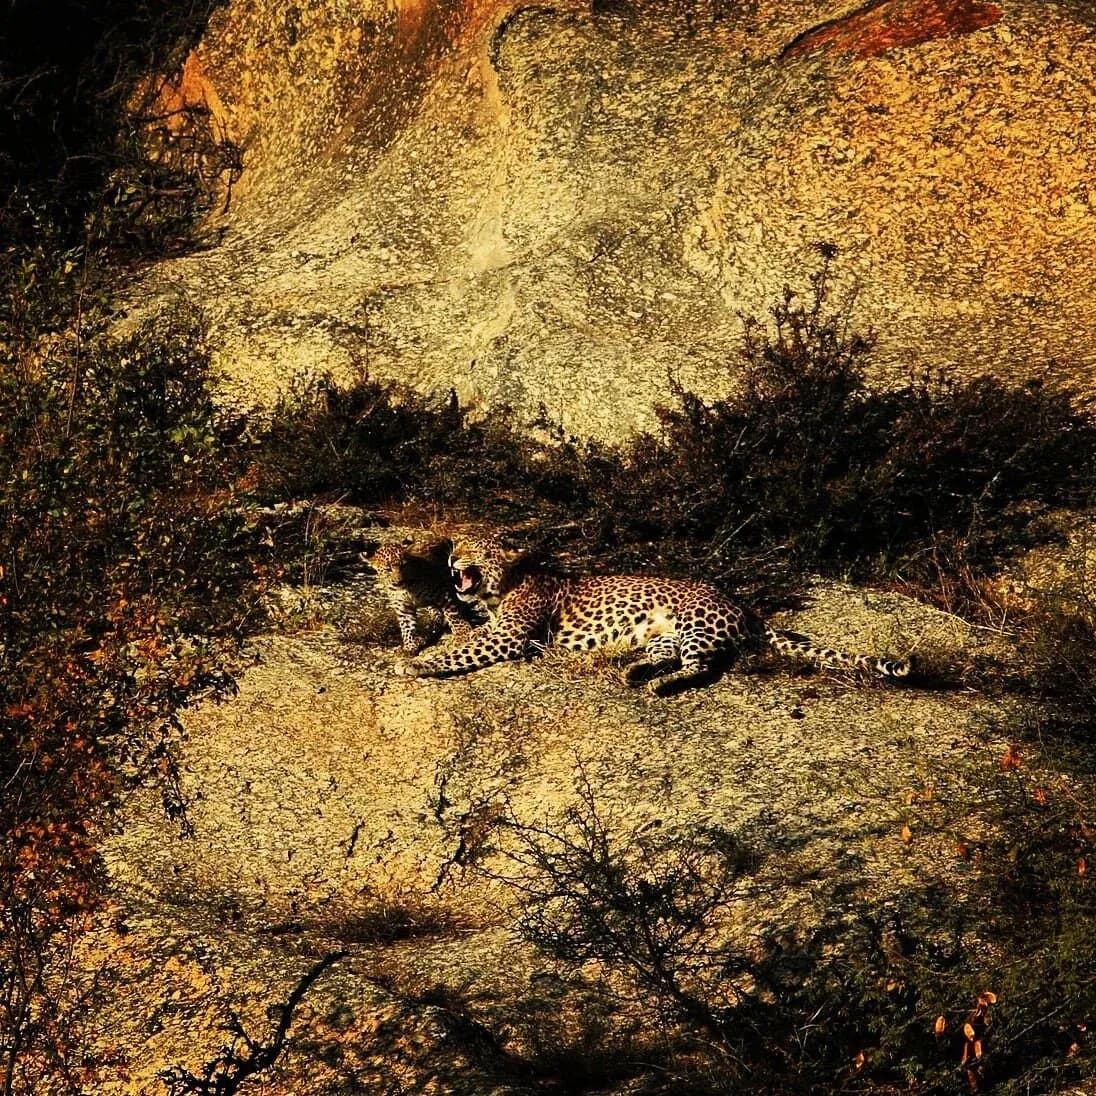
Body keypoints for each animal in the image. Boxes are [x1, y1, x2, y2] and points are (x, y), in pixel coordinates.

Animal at [409, 537, 912, 696]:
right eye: (456, 546)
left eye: (472, 548)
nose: (450, 558)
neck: (504, 586)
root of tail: (743, 606)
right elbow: (464, 640)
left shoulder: (509, 636)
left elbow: (462, 651)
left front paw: (415, 664)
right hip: (663, 632)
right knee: (670, 656)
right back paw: (635, 669)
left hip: (696, 624)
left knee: (702, 667)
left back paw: (658, 685)